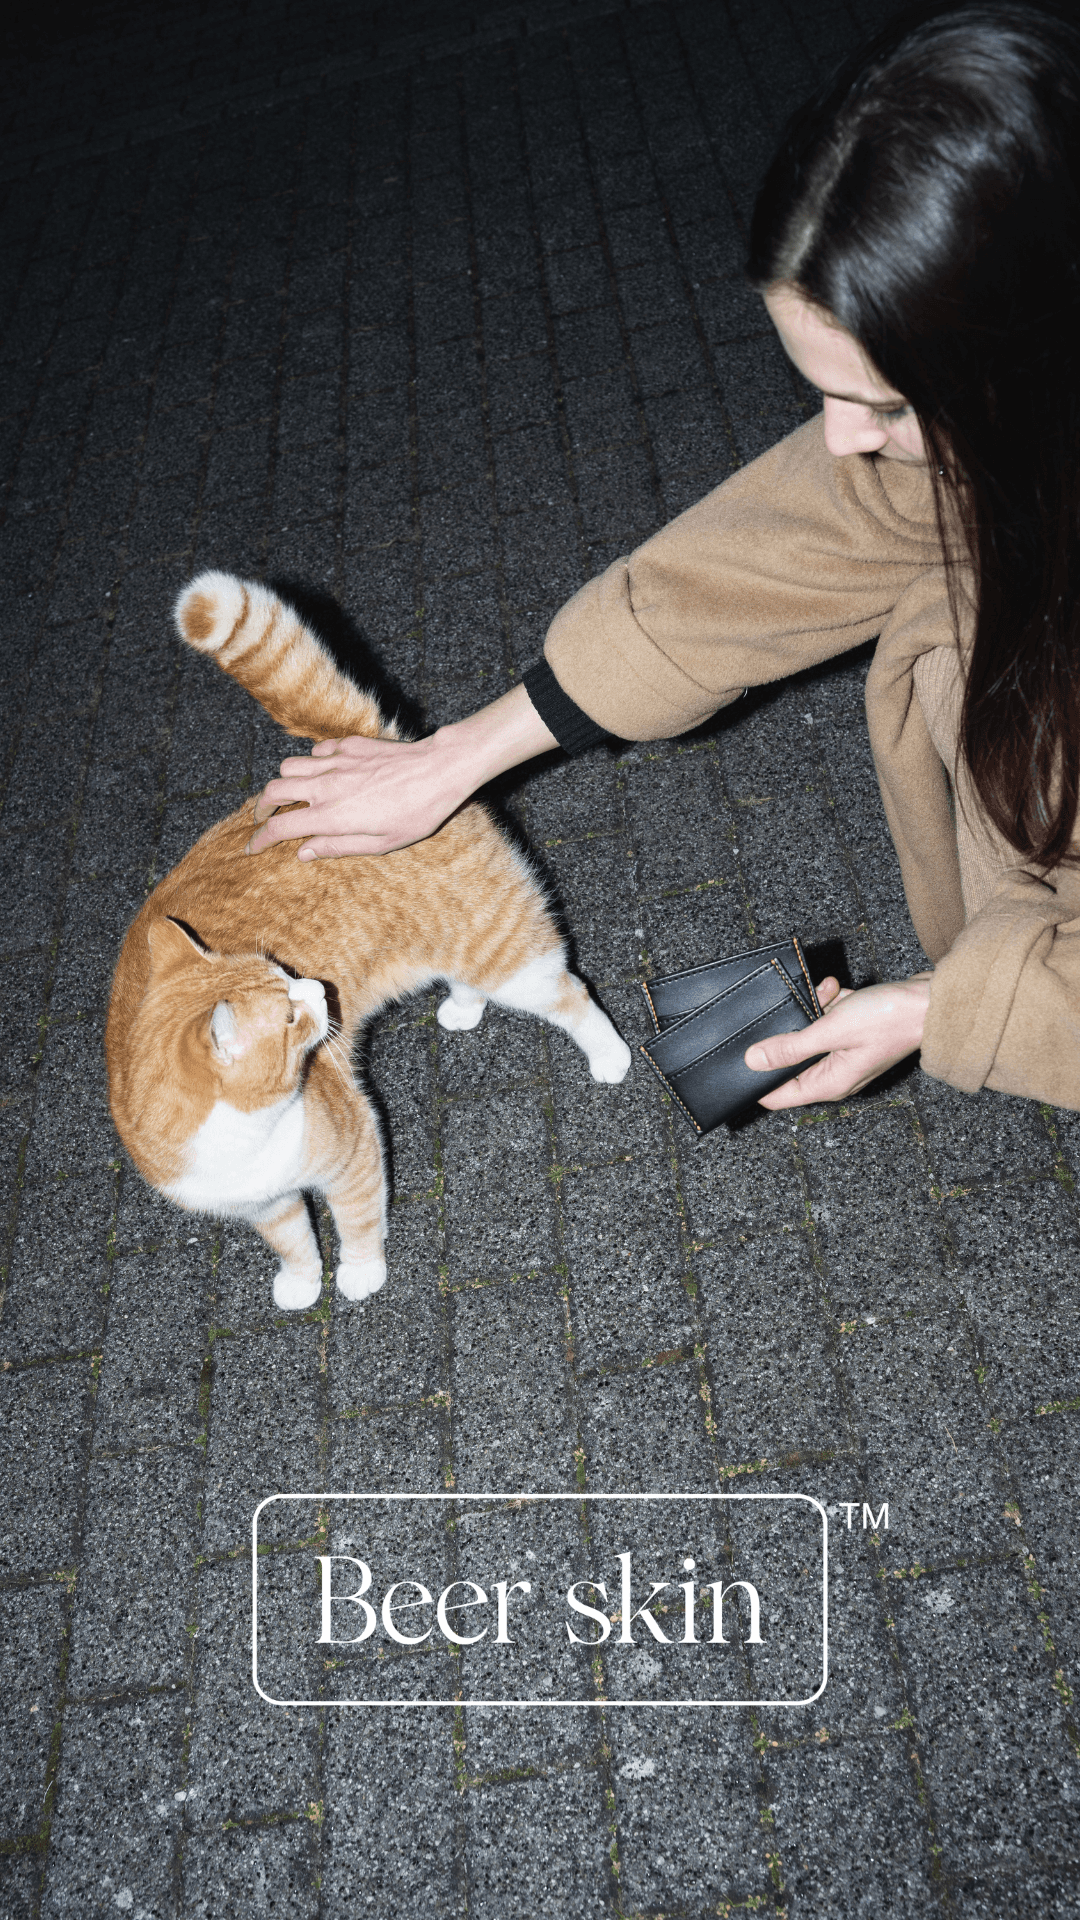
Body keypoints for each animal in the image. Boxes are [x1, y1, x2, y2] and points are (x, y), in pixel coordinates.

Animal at [105, 568, 626, 1313]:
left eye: (283, 979)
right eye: (288, 1011)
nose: (320, 991)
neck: (245, 1139)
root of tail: (368, 740)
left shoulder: (351, 1148)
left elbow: (355, 1219)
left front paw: (359, 1273)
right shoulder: (264, 1205)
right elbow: (293, 1242)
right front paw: (301, 1284)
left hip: (506, 953)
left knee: (572, 995)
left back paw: (609, 1055)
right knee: (467, 975)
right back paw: (462, 1007)